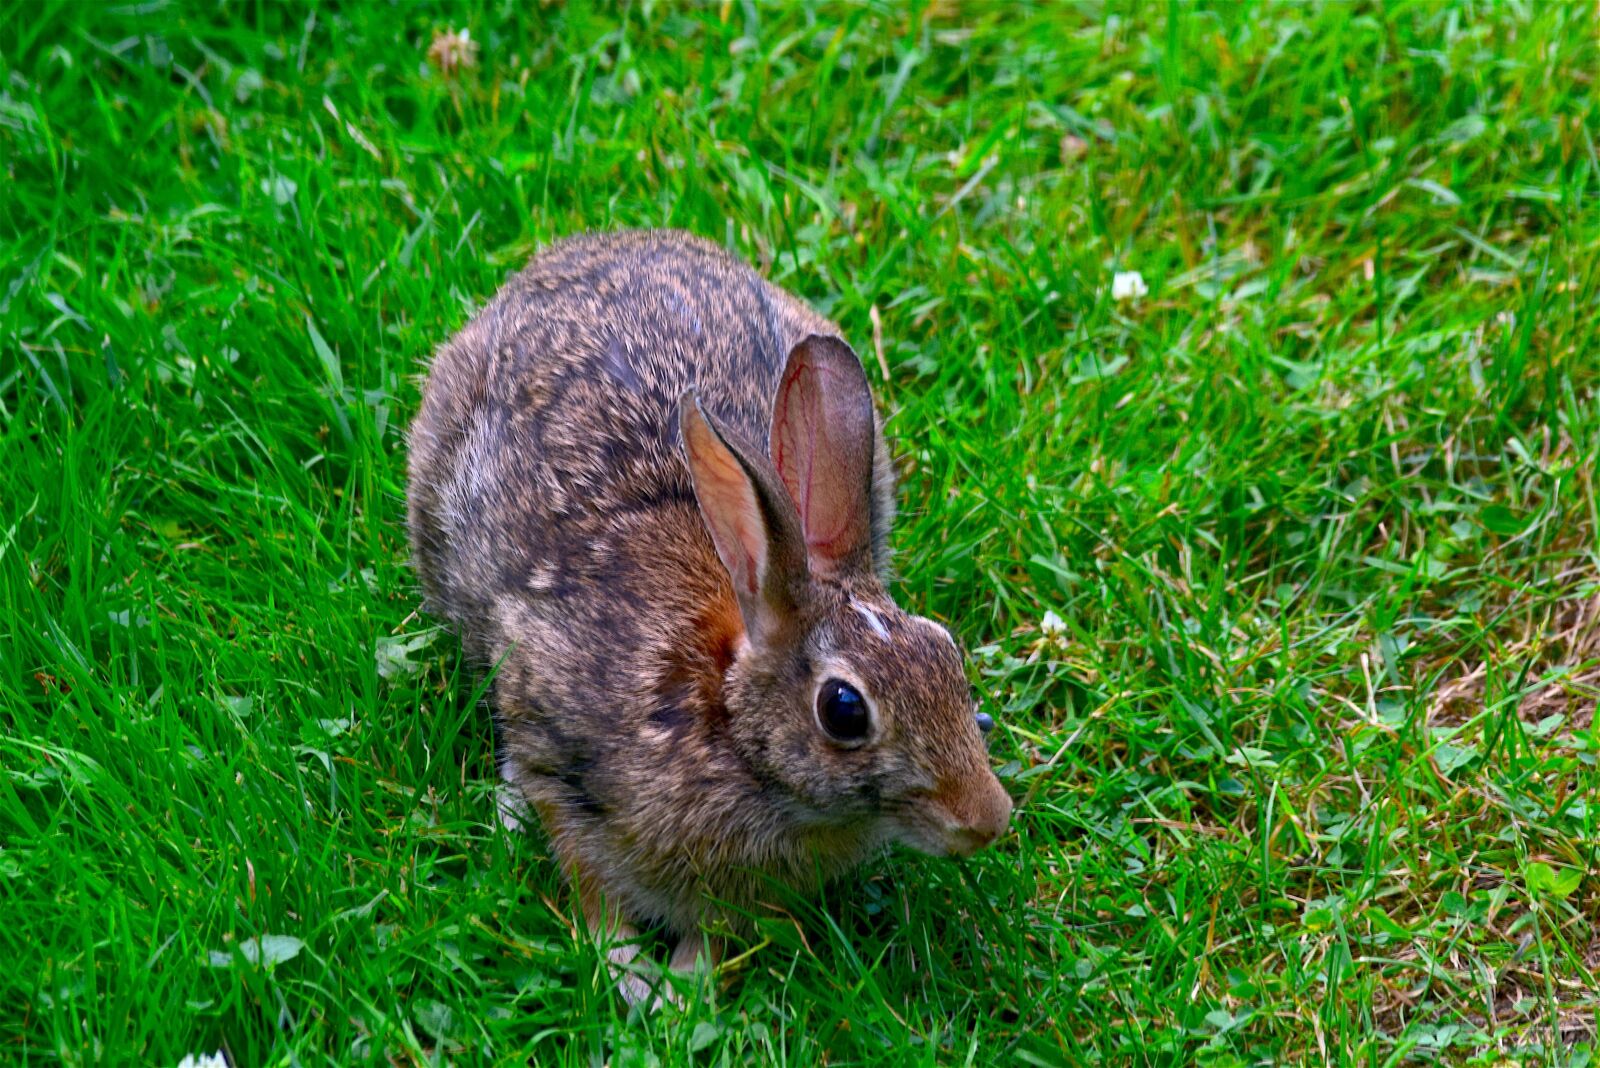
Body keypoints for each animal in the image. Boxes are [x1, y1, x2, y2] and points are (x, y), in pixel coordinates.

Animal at [406, 229, 1011, 1004]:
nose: (988, 819)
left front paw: (687, 990)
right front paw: (630, 975)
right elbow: (586, 874)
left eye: (946, 651)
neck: (726, 726)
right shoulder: (553, 742)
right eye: (844, 710)